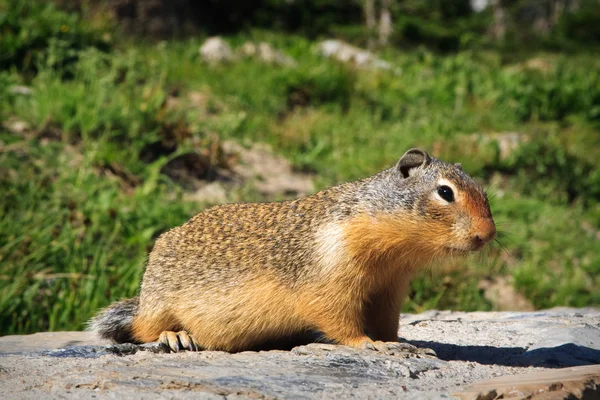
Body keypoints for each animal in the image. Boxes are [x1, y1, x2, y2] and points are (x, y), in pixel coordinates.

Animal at [90, 149, 496, 354]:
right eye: (445, 192)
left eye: (483, 191)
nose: (487, 234)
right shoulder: (332, 277)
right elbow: (338, 318)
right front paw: (368, 345)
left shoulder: (389, 288)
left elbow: (387, 322)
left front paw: (400, 343)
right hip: (158, 303)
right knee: (141, 330)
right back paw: (174, 336)